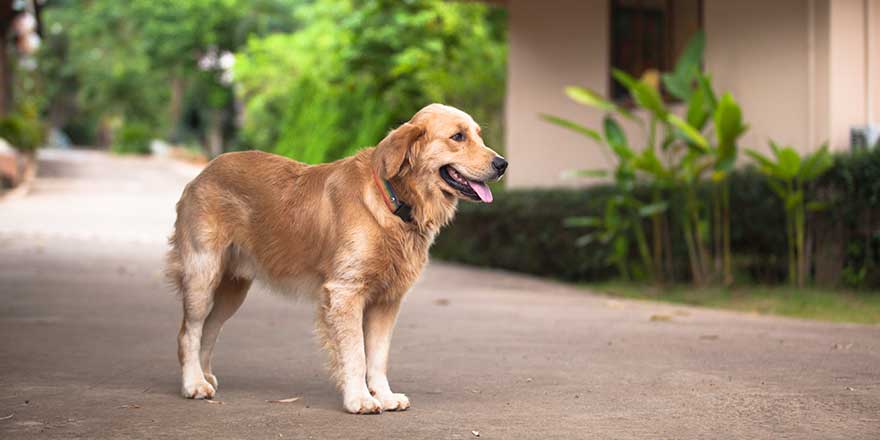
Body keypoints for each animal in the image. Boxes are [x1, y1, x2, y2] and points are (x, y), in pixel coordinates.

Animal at [166, 103, 508, 412]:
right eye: (458, 136)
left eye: (478, 135)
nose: (502, 163)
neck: (393, 201)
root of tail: (203, 173)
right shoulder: (346, 292)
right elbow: (356, 354)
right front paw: (360, 399)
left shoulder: (387, 301)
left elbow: (378, 356)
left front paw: (384, 396)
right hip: (203, 275)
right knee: (189, 332)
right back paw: (193, 383)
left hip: (232, 289)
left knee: (209, 330)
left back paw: (204, 376)